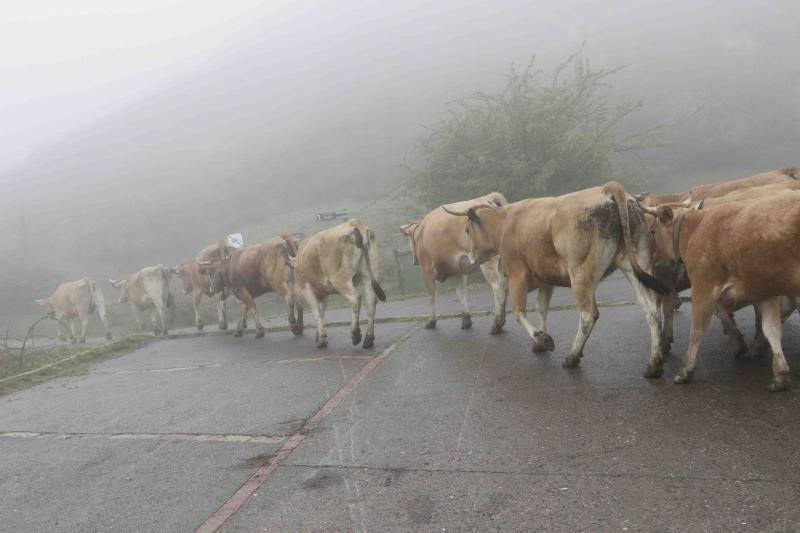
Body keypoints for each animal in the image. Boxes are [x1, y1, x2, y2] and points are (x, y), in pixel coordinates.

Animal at [296, 217, 388, 348]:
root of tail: (353, 222)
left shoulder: (305, 288)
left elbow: (317, 312)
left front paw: (321, 339)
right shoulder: (325, 292)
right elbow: (322, 312)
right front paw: (319, 337)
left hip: (340, 279)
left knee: (355, 298)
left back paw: (355, 334)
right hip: (369, 273)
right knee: (371, 300)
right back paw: (368, 339)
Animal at [400, 191, 506, 332]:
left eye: (408, 239)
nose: (414, 261)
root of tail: (489, 197)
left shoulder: (426, 271)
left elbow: (431, 295)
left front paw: (431, 321)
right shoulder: (459, 270)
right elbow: (460, 293)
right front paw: (466, 320)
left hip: (488, 258)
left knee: (497, 285)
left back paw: (497, 323)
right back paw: (503, 319)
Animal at [446, 183, 664, 378]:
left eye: (467, 230)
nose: (471, 257)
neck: (506, 224)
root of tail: (607, 188)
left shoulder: (517, 277)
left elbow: (519, 312)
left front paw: (540, 339)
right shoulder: (545, 281)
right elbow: (542, 309)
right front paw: (541, 337)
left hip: (580, 275)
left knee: (588, 315)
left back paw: (572, 356)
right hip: (636, 262)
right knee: (651, 309)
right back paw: (654, 364)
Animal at [640, 192, 800, 390]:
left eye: (653, 231)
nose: (654, 261)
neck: (693, 231)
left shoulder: (704, 287)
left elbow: (697, 330)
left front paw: (685, 371)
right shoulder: (764, 292)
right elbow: (771, 329)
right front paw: (780, 375)